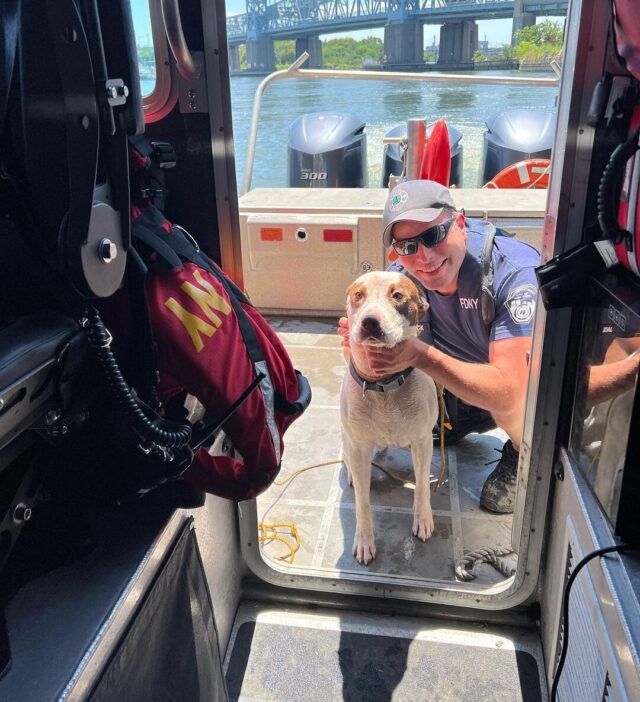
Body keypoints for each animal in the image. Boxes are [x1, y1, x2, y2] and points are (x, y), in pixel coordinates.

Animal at [340, 270, 440, 568]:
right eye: (358, 294)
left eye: (397, 295)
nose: (370, 321)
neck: (383, 384)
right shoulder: (359, 445)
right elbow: (362, 502)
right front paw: (364, 540)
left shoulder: (423, 440)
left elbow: (422, 486)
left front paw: (423, 518)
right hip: (347, 439)